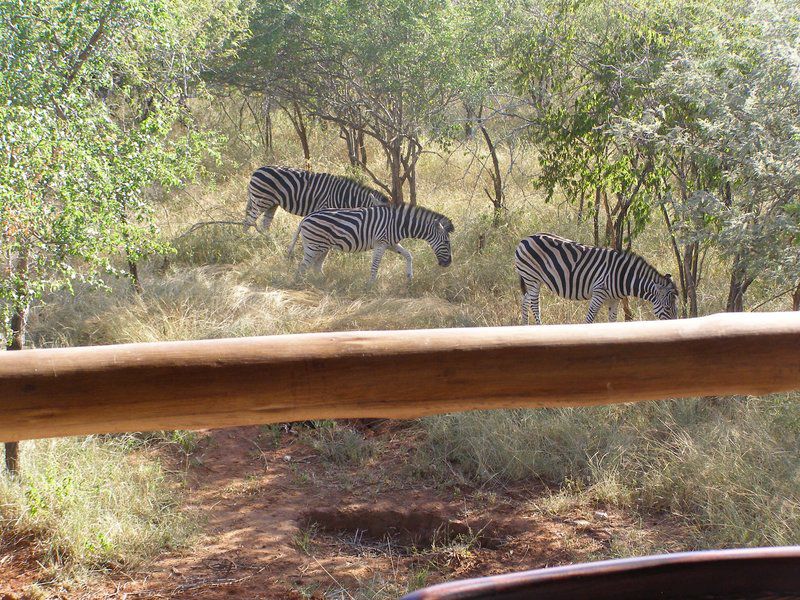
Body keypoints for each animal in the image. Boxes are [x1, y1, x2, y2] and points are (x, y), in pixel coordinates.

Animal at [247, 165, 390, 256]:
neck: (344, 196)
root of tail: (258, 170)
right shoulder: (326, 210)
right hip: (261, 200)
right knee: (249, 220)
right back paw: (245, 240)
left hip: (272, 203)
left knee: (265, 223)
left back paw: (268, 242)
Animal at [296, 205, 454, 282]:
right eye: (446, 242)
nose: (448, 264)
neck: (399, 224)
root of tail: (305, 218)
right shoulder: (381, 243)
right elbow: (375, 265)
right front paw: (370, 285)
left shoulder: (391, 244)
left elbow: (408, 255)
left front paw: (410, 277)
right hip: (314, 245)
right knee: (302, 267)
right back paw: (301, 285)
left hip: (323, 247)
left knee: (316, 266)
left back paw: (323, 282)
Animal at [516, 234, 680, 326]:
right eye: (667, 308)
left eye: (676, 308)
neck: (623, 276)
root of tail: (526, 238)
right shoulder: (599, 293)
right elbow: (589, 318)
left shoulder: (615, 299)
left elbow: (612, 320)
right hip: (532, 277)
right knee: (534, 304)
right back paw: (539, 326)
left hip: (531, 280)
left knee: (525, 300)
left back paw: (526, 326)